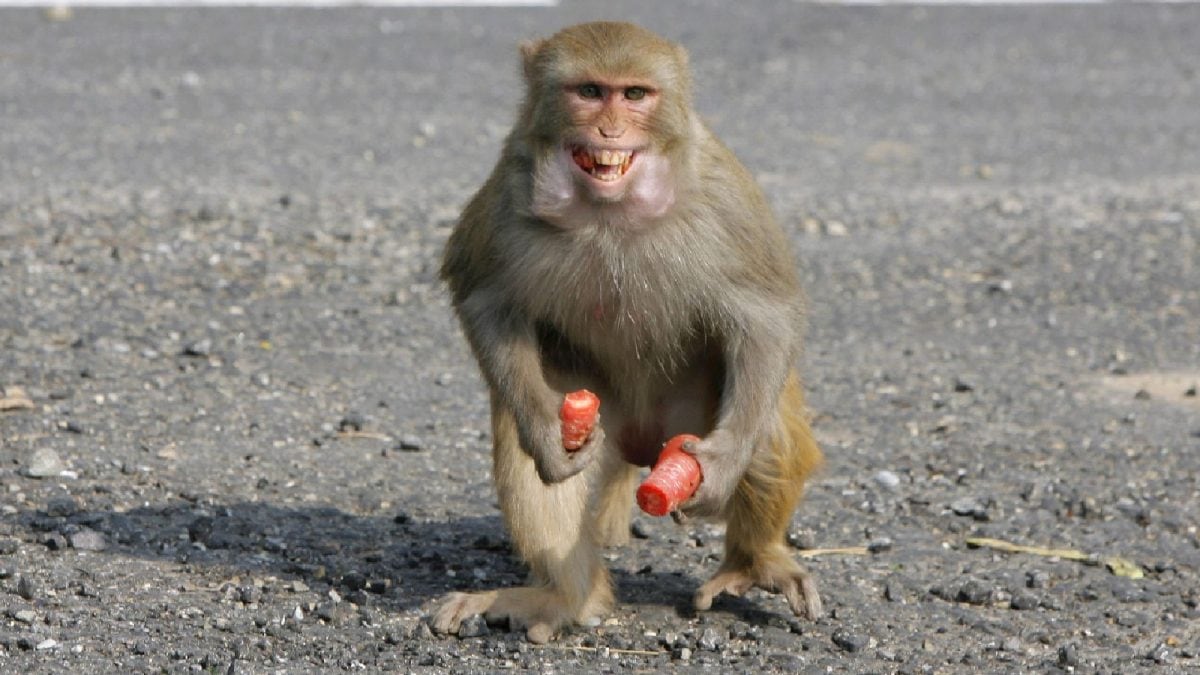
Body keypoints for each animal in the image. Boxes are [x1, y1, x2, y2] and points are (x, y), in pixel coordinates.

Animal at [433, 21, 824, 644]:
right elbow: (486, 296)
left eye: (635, 94)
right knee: (532, 443)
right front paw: (547, 433)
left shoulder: (723, 192)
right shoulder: (510, 185)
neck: (612, 208)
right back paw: (568, 600)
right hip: (603, 418)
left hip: (690, 422)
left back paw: (755, 560)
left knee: (762, 420)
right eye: (590, 91)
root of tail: (644, 444)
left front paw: (721, 469)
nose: (609, 129)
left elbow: (767, 313)